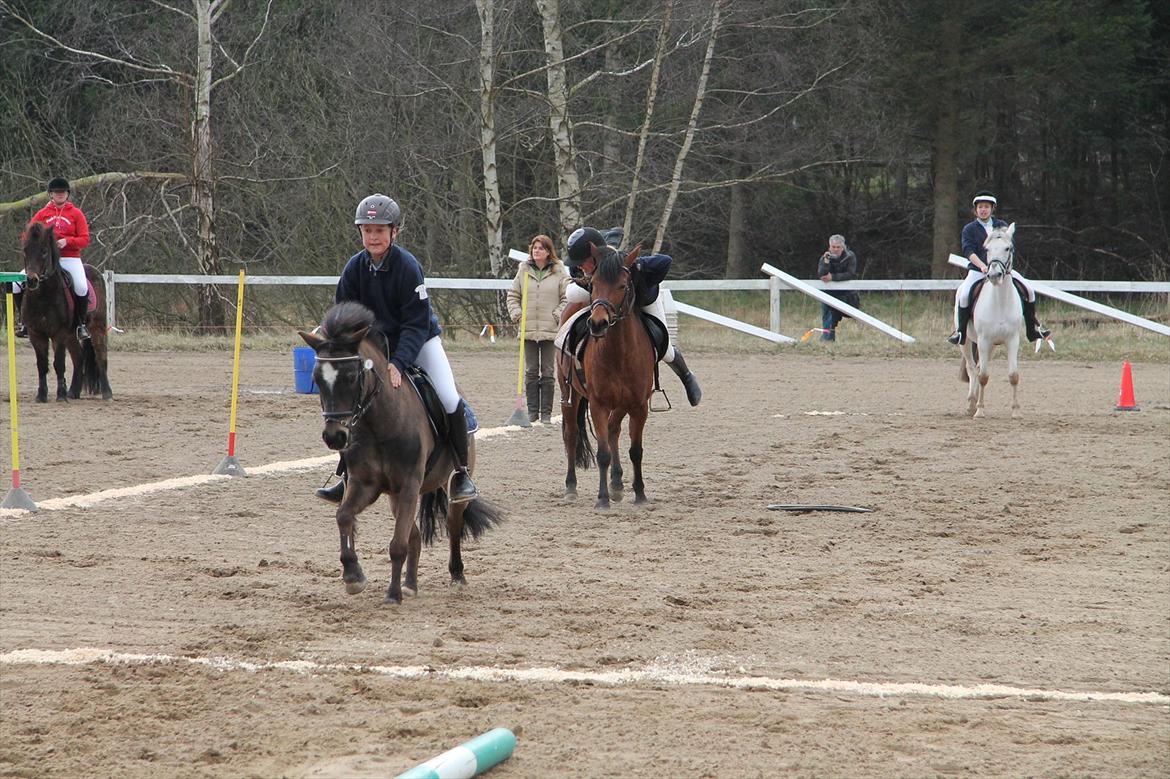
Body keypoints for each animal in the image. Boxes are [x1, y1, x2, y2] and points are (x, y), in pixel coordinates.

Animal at [19, 222, 113, 402]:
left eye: (44, 251)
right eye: (25, 250)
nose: (31, 280)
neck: (43, 296)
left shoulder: (59, 333)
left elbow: (59, 364)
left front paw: (60, 395)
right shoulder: (36, 334)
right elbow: (42, 365)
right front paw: (41, 395)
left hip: (96, 327)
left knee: (101, 357)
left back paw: (107, 393)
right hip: (71, 335)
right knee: (79, 358)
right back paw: (73, 392)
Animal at [298, 302, 502, 605]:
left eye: (352, 376)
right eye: (316, 379)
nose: (335, 437)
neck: (379, 425)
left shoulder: (408, 485)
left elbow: (397, 545)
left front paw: (392, 595)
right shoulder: (365, 485)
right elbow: (344, 516)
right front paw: (354, 576)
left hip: (445, 486)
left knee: (453, 525)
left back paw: (456, 575)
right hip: (395, 495)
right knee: (414, 536)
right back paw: (410, 584)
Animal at [557, 243, 656, 509]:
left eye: (622, 285)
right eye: (593, 284)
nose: (598, 323)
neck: (619, 353)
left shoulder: (639, 406)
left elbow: (636, 450)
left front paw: (640, 494)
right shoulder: (598, 404)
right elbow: (602, 454)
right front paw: (602, 498)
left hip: (621, 403)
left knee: (613, 429)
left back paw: (617, 483)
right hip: (569, 394)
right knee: (571, 434)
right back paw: (571, 486)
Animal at [960, 223, 1024, 418]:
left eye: (1008, 248)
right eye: (987, 249)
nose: (994, 275)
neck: (1000, 302)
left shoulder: (1012, 340)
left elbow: (1013, 375)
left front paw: (1016, 411)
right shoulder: (983, 340)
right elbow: (983, 376)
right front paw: (980, 411)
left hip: (992, 346)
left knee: (979, 367)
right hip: (966, 342)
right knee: (973, 369)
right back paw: (971, 404)